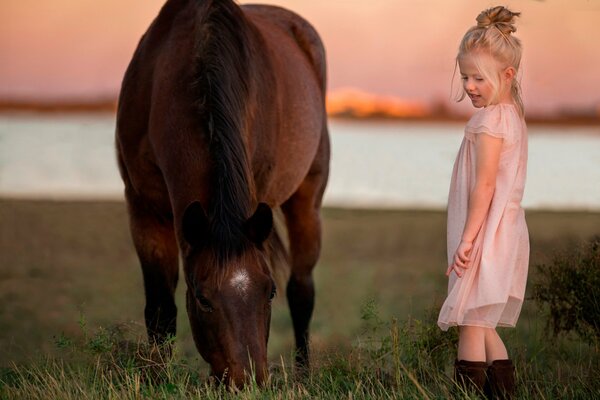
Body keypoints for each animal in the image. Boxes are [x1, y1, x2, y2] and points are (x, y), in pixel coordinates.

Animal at [113, 0, 328, 388]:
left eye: (268, 291)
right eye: (203, 299)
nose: (248, 382)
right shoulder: (144, 209)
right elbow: (160, 307)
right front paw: (156, 379)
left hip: (307, 200)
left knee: (302, 291)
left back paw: (304, 376)